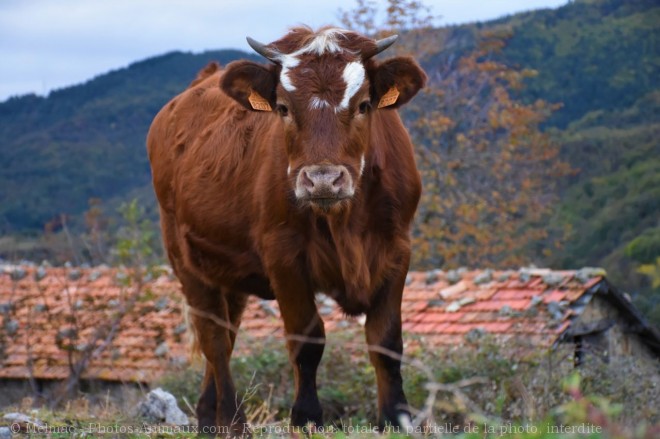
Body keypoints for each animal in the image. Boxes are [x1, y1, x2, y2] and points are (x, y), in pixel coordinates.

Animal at [147, 27, 426, 436]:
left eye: (363, 105)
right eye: (283, 108)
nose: (323, 179)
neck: (346, 223)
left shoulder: (397, 250)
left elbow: (387, 342)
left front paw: (396, 419)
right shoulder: (284, 257)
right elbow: (307, 341)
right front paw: (307, 417)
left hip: (228, 271)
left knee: (227, 332)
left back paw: (208, 418)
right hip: (185, 258)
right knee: (214, 339)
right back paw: (233, 422)